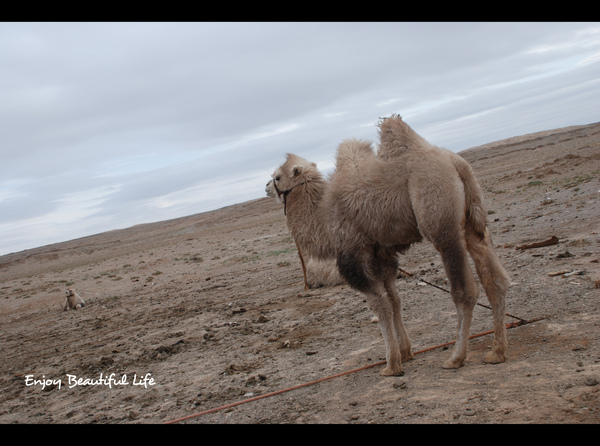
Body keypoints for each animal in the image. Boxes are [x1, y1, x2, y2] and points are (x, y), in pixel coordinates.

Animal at [272, 115, 510, 376]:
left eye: (277, 177)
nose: (265, 186)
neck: (323, 216)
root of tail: (455, 164)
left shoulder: (354, 253)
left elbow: (379, 304)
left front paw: (391, 364)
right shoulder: (381, 254)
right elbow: (394, 300)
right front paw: (405, 352)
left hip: (441, 221)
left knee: (465, 290)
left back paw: (456, 357)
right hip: (474, 215)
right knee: (494, 278)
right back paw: (497, 352)